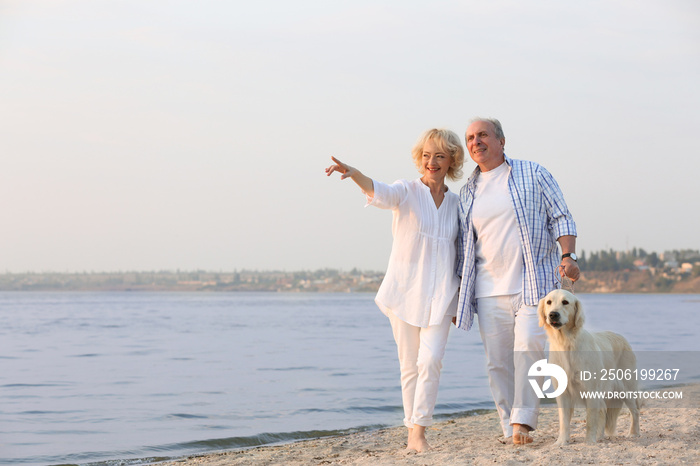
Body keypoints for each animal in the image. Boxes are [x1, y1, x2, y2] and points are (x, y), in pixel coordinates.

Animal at [540, 290, 644, 446]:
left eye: (565, 302)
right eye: (549, 302)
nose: (553, 314)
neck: (567, 343)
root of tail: (621, 337)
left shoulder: (591, 391)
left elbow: (590, 420)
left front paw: (589, 441)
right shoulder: (563, 393)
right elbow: (564, 421)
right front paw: (562, 441)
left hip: (626, 388)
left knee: (635, 411)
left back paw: (633, 433)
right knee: (603, 409)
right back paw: (600, 436)